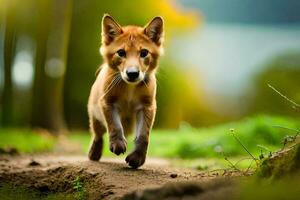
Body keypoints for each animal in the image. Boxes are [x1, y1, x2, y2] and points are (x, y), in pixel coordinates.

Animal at [87, 13, 164, 169]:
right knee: (98, 134)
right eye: (121, 53)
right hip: (95, 115)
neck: (130, 89)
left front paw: (137, 158)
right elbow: (114, 125)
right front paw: (117, 144)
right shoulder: (107, 102)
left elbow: (143, 135)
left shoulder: (147, 106)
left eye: (144, 53)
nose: (132, 73)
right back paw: (94, 153)